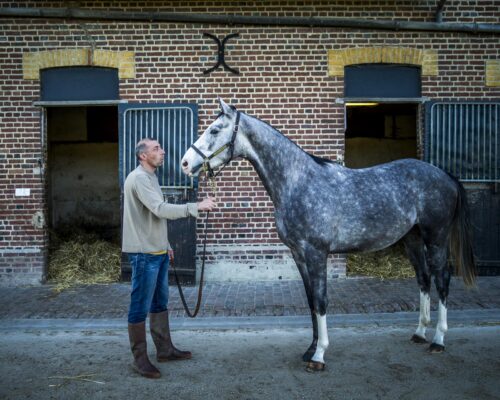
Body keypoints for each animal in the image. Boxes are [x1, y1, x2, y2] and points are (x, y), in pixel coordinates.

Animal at [181, 98, 476, 370]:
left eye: (215, 130)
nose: (185, 163)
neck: (298, 182)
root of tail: (446, 176)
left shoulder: (316, 253)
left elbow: (321, 301)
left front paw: (320, 355)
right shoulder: (299, 255)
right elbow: (311, 301)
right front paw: (310, 349)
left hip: (436, 238)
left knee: (442, 279)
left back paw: (438, 340)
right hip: (412, 239)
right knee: (424, 279)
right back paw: (419, 333)